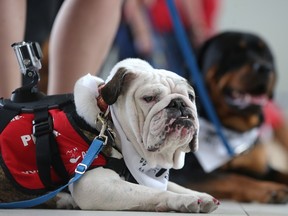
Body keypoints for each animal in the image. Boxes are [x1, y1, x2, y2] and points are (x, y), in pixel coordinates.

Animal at [170, 31, 288, 203]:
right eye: (235, 53)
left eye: (267, 55)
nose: (265, 68)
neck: (231, 129)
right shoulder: (183, 173)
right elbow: (230, 178)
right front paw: (269, 189)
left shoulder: (261, 169)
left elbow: (281, 173)